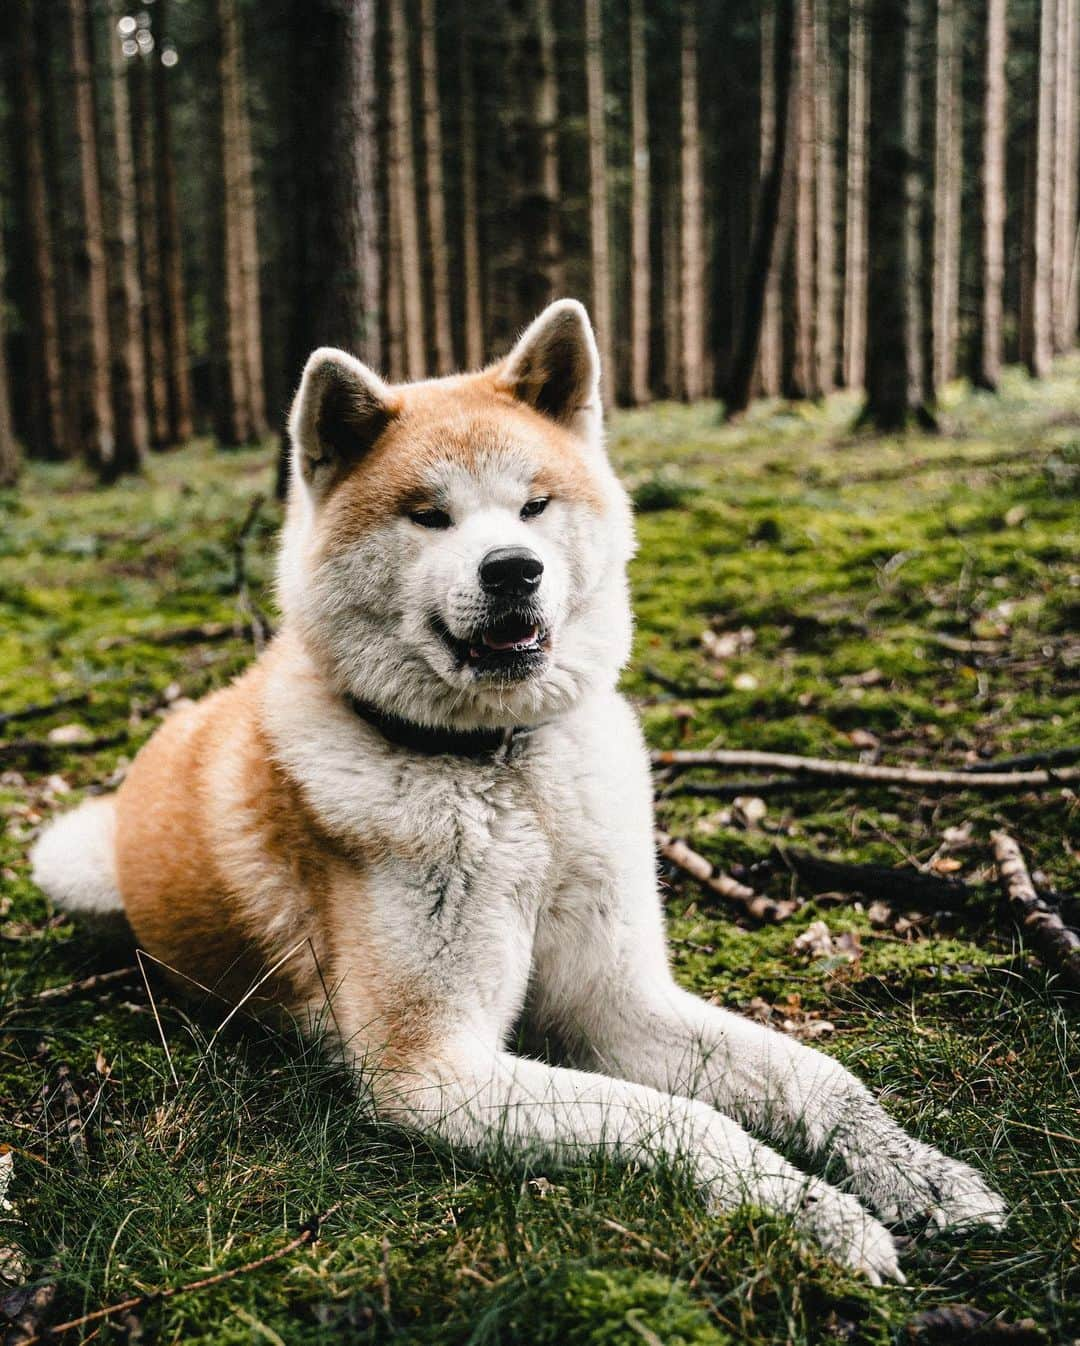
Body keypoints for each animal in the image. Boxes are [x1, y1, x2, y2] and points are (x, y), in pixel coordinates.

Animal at [31, 302, 1001, 1281]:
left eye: (534, 505)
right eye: (429, 516)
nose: (511, 568)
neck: (503, 775)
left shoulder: (614, 1001)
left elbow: (819, 1076)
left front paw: (919, 1174)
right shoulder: (432, 1070)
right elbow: (682, 1119)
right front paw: (817, 1217)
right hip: (66, 861)